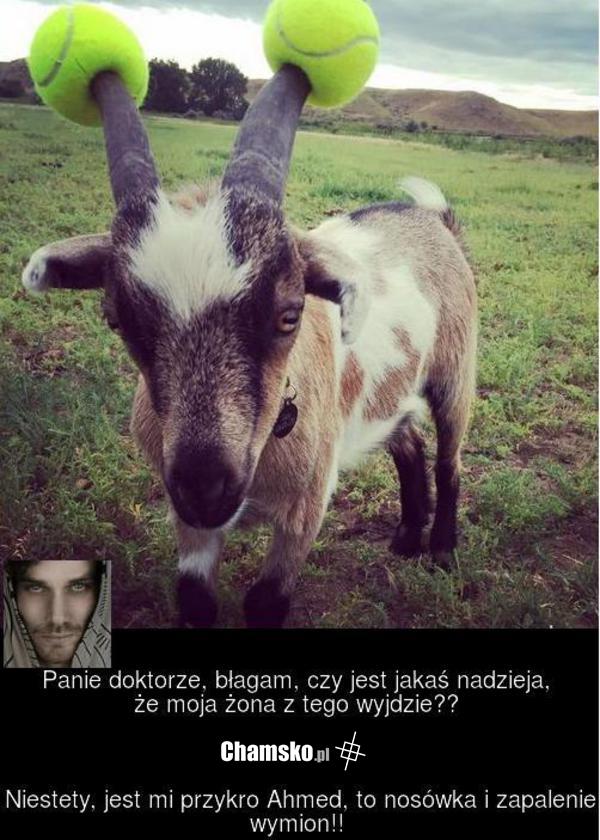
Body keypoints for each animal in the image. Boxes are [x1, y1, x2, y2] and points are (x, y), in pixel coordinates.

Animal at [21, 66, 477, 628]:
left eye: (289, 314)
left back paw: (441, 551)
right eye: (117, 320)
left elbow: (266, 601)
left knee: (449, 459)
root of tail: (434, 220)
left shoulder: (306, 508)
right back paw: (407, 539)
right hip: (387, 393)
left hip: (456, 372)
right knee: (408, 443)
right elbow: (195, 598)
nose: (206, 487)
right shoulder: (187, 519)